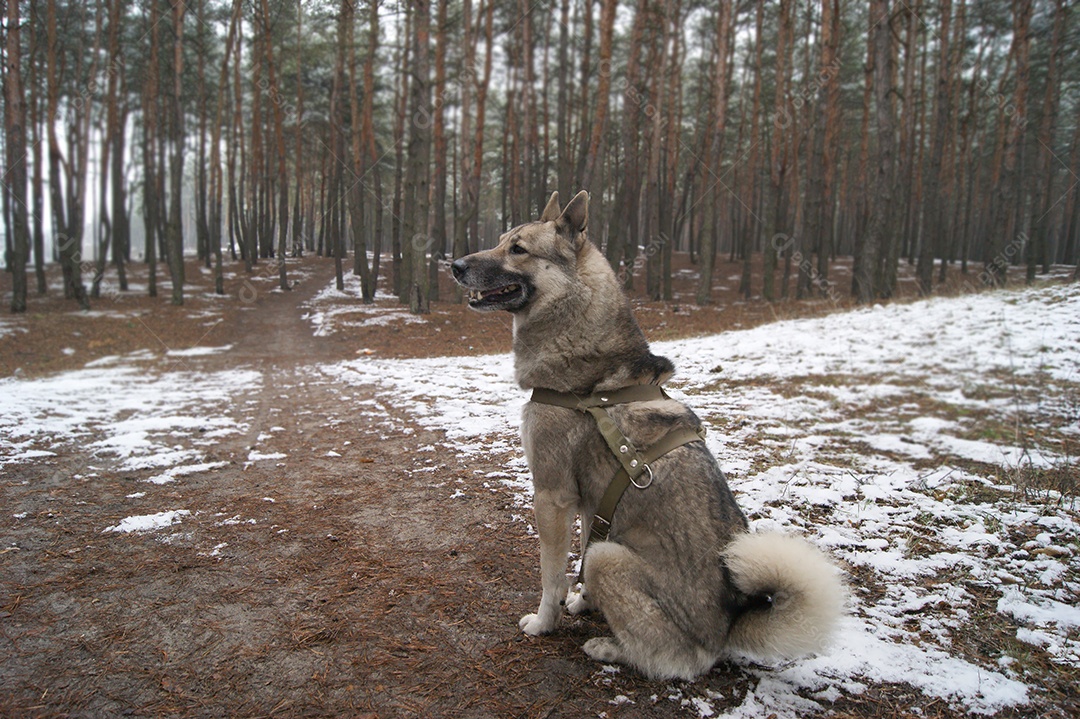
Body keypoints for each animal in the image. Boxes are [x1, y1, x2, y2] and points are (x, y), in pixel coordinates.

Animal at [449, 188, 842, 677]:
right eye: (501, 240)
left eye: (518, 249)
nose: (455, 265)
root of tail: (727, 629)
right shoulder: (591, 504)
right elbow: (578, 557)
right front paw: (583, 602)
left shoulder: (552, 496)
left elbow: (551, 576)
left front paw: (544, 622)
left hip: (611, 560)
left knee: (676, 659)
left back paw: (611, 648)